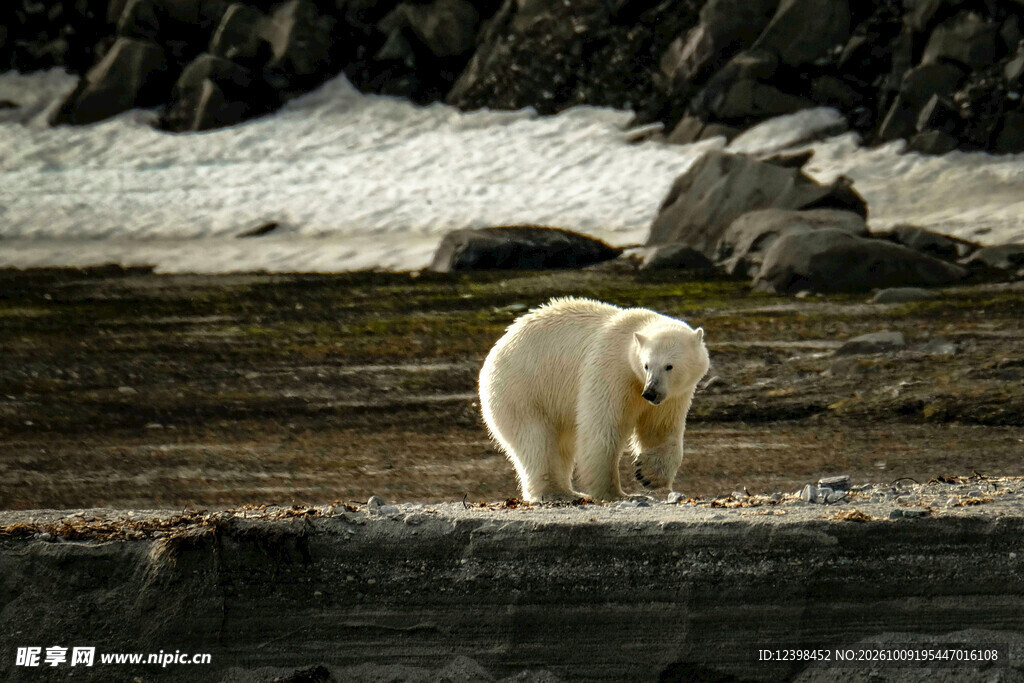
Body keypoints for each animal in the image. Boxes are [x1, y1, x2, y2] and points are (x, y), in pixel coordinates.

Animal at [479, 297, 709, 502]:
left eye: (669, 366)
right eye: (646, 365)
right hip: (522, 389)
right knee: (536, 440)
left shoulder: (673, 395)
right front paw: (615, 493)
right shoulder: (610, 370)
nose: (650, 392)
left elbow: (660, 428)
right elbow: (602, 428)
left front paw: (649, 475)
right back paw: (558, 492)